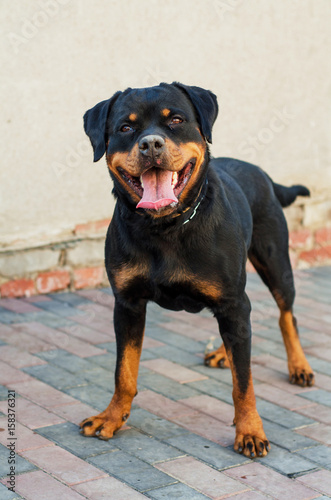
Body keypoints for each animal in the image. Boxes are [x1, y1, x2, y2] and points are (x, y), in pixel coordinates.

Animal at [80, 82, 314, 458]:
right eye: (126, 128)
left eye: (176, 120)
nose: (151, 144)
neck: (165, 228)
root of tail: (264, 174)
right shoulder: (127, 304)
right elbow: (123, 372)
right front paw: (112, 417)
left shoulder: (233, 302)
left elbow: (243, 384)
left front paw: (250, 431)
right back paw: (223, 353)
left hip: (276, 262)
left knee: (285, 314)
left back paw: (299, 366)